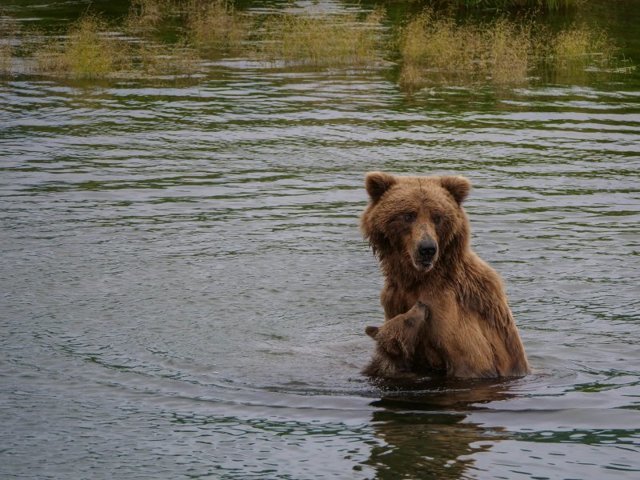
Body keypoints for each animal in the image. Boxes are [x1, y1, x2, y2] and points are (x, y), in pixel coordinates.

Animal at [360, 172, 528, 378]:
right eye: (408, 215)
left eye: (437, 216)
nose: (427, 249)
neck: (418, 279)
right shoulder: (395, 300)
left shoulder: (447, 308)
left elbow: (472, 359)